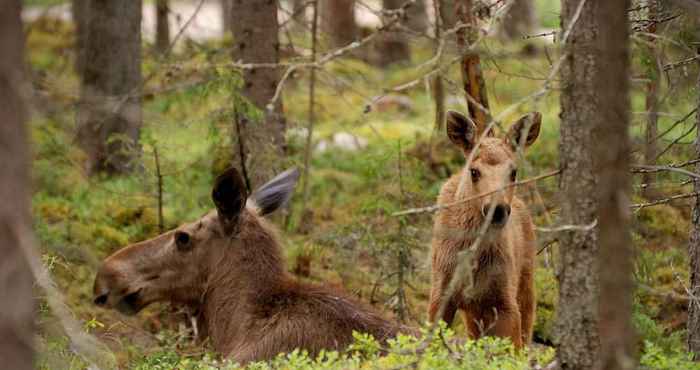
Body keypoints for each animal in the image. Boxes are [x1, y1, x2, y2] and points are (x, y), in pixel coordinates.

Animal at [426, 108, 540, 348]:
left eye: (513, 172)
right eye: (474, 171)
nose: (497, 209)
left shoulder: (505, 301)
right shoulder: (440, 294)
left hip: (525, 287)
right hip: (473, 313)